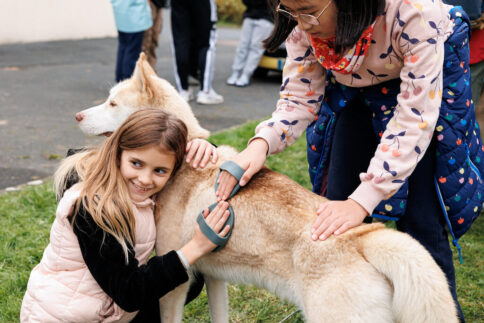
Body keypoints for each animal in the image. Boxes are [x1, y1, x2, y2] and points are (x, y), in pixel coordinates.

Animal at [71, 54, 458, 322]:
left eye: (112, 103)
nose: (76, 116)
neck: (183, 162)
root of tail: (365, 235)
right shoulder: (214, 278)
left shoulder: (175, 285)